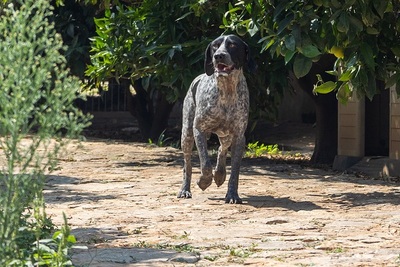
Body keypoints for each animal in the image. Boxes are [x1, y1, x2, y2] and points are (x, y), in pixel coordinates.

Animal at [178, 35, 253, 205]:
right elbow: (205, 164)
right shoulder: (199, 129)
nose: (218, 56)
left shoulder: (239, 136)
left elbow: (235, 172)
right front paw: (203, 182)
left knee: (221, 150)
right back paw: (185, 190)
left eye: (232, 45)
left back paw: (219, 174)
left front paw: (232, 195)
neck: (226, 90)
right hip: (187, 135)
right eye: (215, 46)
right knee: (187, 165)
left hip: (226, 135)